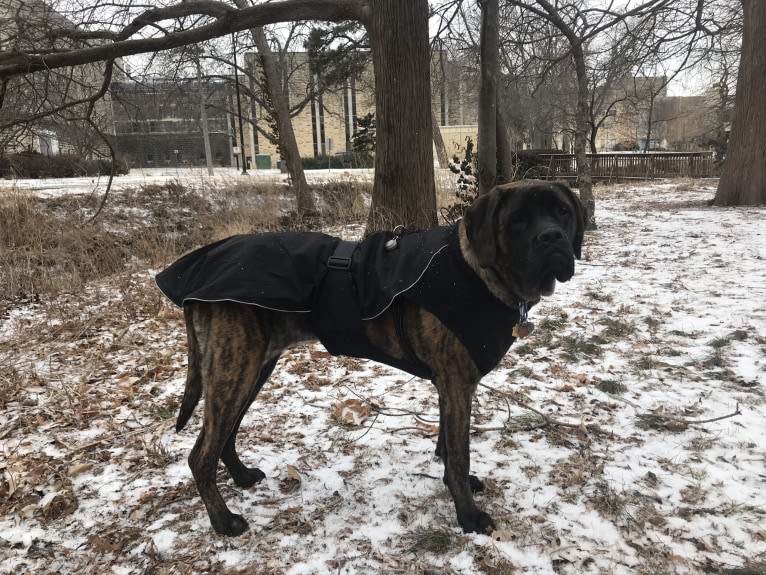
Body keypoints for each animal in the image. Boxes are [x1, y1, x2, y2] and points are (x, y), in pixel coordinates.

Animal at [158, 179, 588, 536]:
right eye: (518, 220)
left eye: (563, 213)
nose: (552, 237)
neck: (478, 271)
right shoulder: (457, 382)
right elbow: (459, 454)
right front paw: (468, 515)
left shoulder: (450, 386)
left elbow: (448, 447)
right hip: (235, 369)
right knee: (201, 454)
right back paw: (223, 521)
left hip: (252, 366)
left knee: (224, 434)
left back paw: (242, 476)